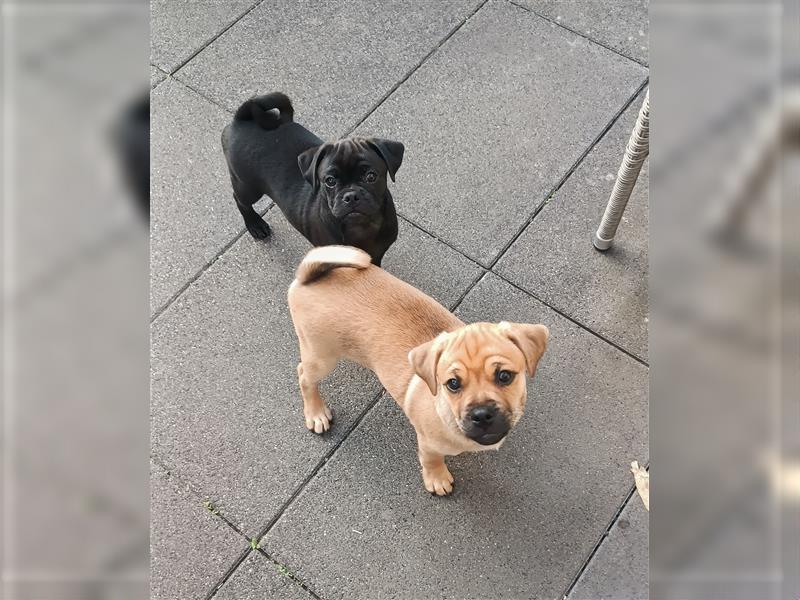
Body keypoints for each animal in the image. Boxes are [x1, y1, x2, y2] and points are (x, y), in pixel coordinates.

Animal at [220, 92, 404, 264]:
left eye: (371, 176)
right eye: (330, 181)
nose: (351, 195)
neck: (361, 227)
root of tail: (242, 118)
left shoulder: (376, 255)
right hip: (248, 186)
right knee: (240, 200)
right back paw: (255, 225)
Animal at [290, 246, 552, 494]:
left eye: (504, 376)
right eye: (453, 384)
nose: (481, 414)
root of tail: (309, 277)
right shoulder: (428, 442)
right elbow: (431, 460)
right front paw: (437, 479)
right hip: (321, 357)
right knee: (304, 376)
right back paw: (316, 413)